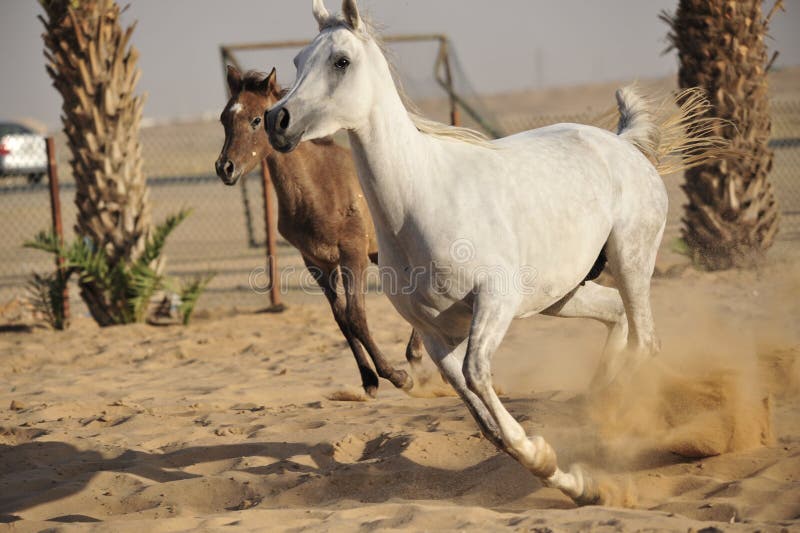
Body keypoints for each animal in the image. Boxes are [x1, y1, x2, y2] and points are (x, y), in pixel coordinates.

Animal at [212, 66, 424, 396]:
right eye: (224, 118)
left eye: (256, 119)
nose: (225, 168)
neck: (317, 186)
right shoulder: (318, 263)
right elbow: (341, 318)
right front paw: (369, 379)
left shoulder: (353, 256)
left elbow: (356, 316)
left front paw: (398, 376)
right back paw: (415, 352)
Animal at [268, 0, 724, 502]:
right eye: (296, 61)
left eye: (341, 61)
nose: (276, 121)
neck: (420, 201)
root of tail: (624, 144)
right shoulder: (434, 334)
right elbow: (487, 423)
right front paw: (573, 481)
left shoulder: (495, 301)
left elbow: (478, 374)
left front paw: (552, 463)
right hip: (562, 295)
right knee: (615, 316)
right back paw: (597, 410)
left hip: (631, 261)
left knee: (645, 340)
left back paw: (616, 422)